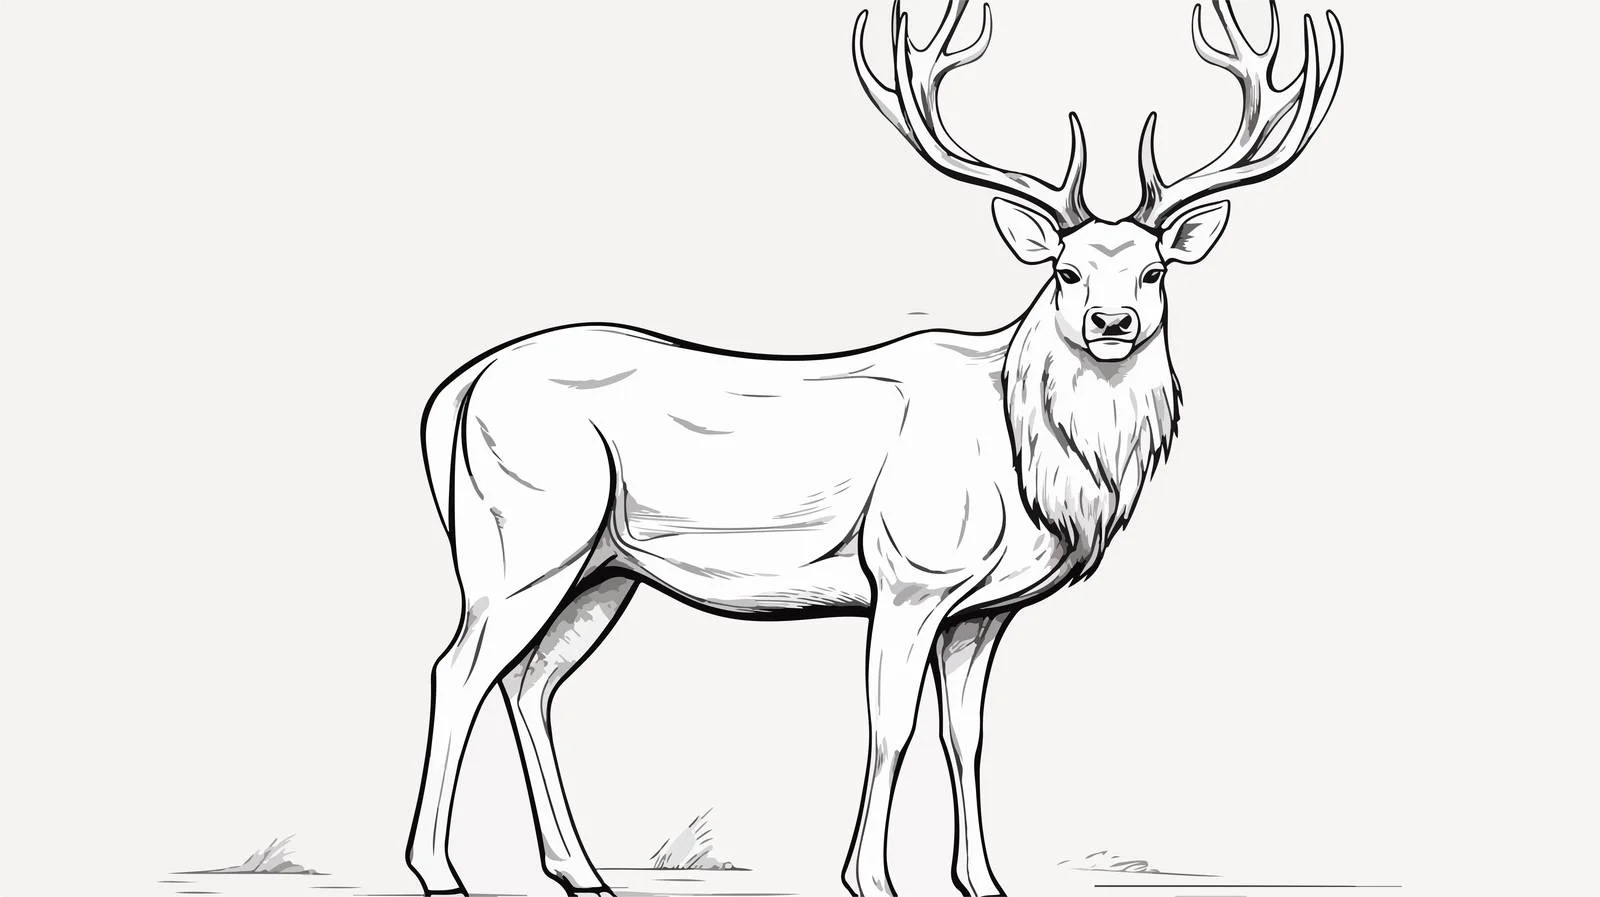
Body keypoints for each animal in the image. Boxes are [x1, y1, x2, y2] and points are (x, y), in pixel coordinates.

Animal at [404, 1, 1344, 895]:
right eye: (1066, 271)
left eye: (1154, 271)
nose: (1110, 323)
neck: (1034, 475)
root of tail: (456, 389)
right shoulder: (909, 572)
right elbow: (889, 726)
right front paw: (870, 877)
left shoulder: (984, 609)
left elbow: (966, 734)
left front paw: (983, 879)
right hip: (525, 536)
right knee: (458, 669)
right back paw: (438, 867)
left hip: (605, 567)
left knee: (532, 683)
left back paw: (581, 869)